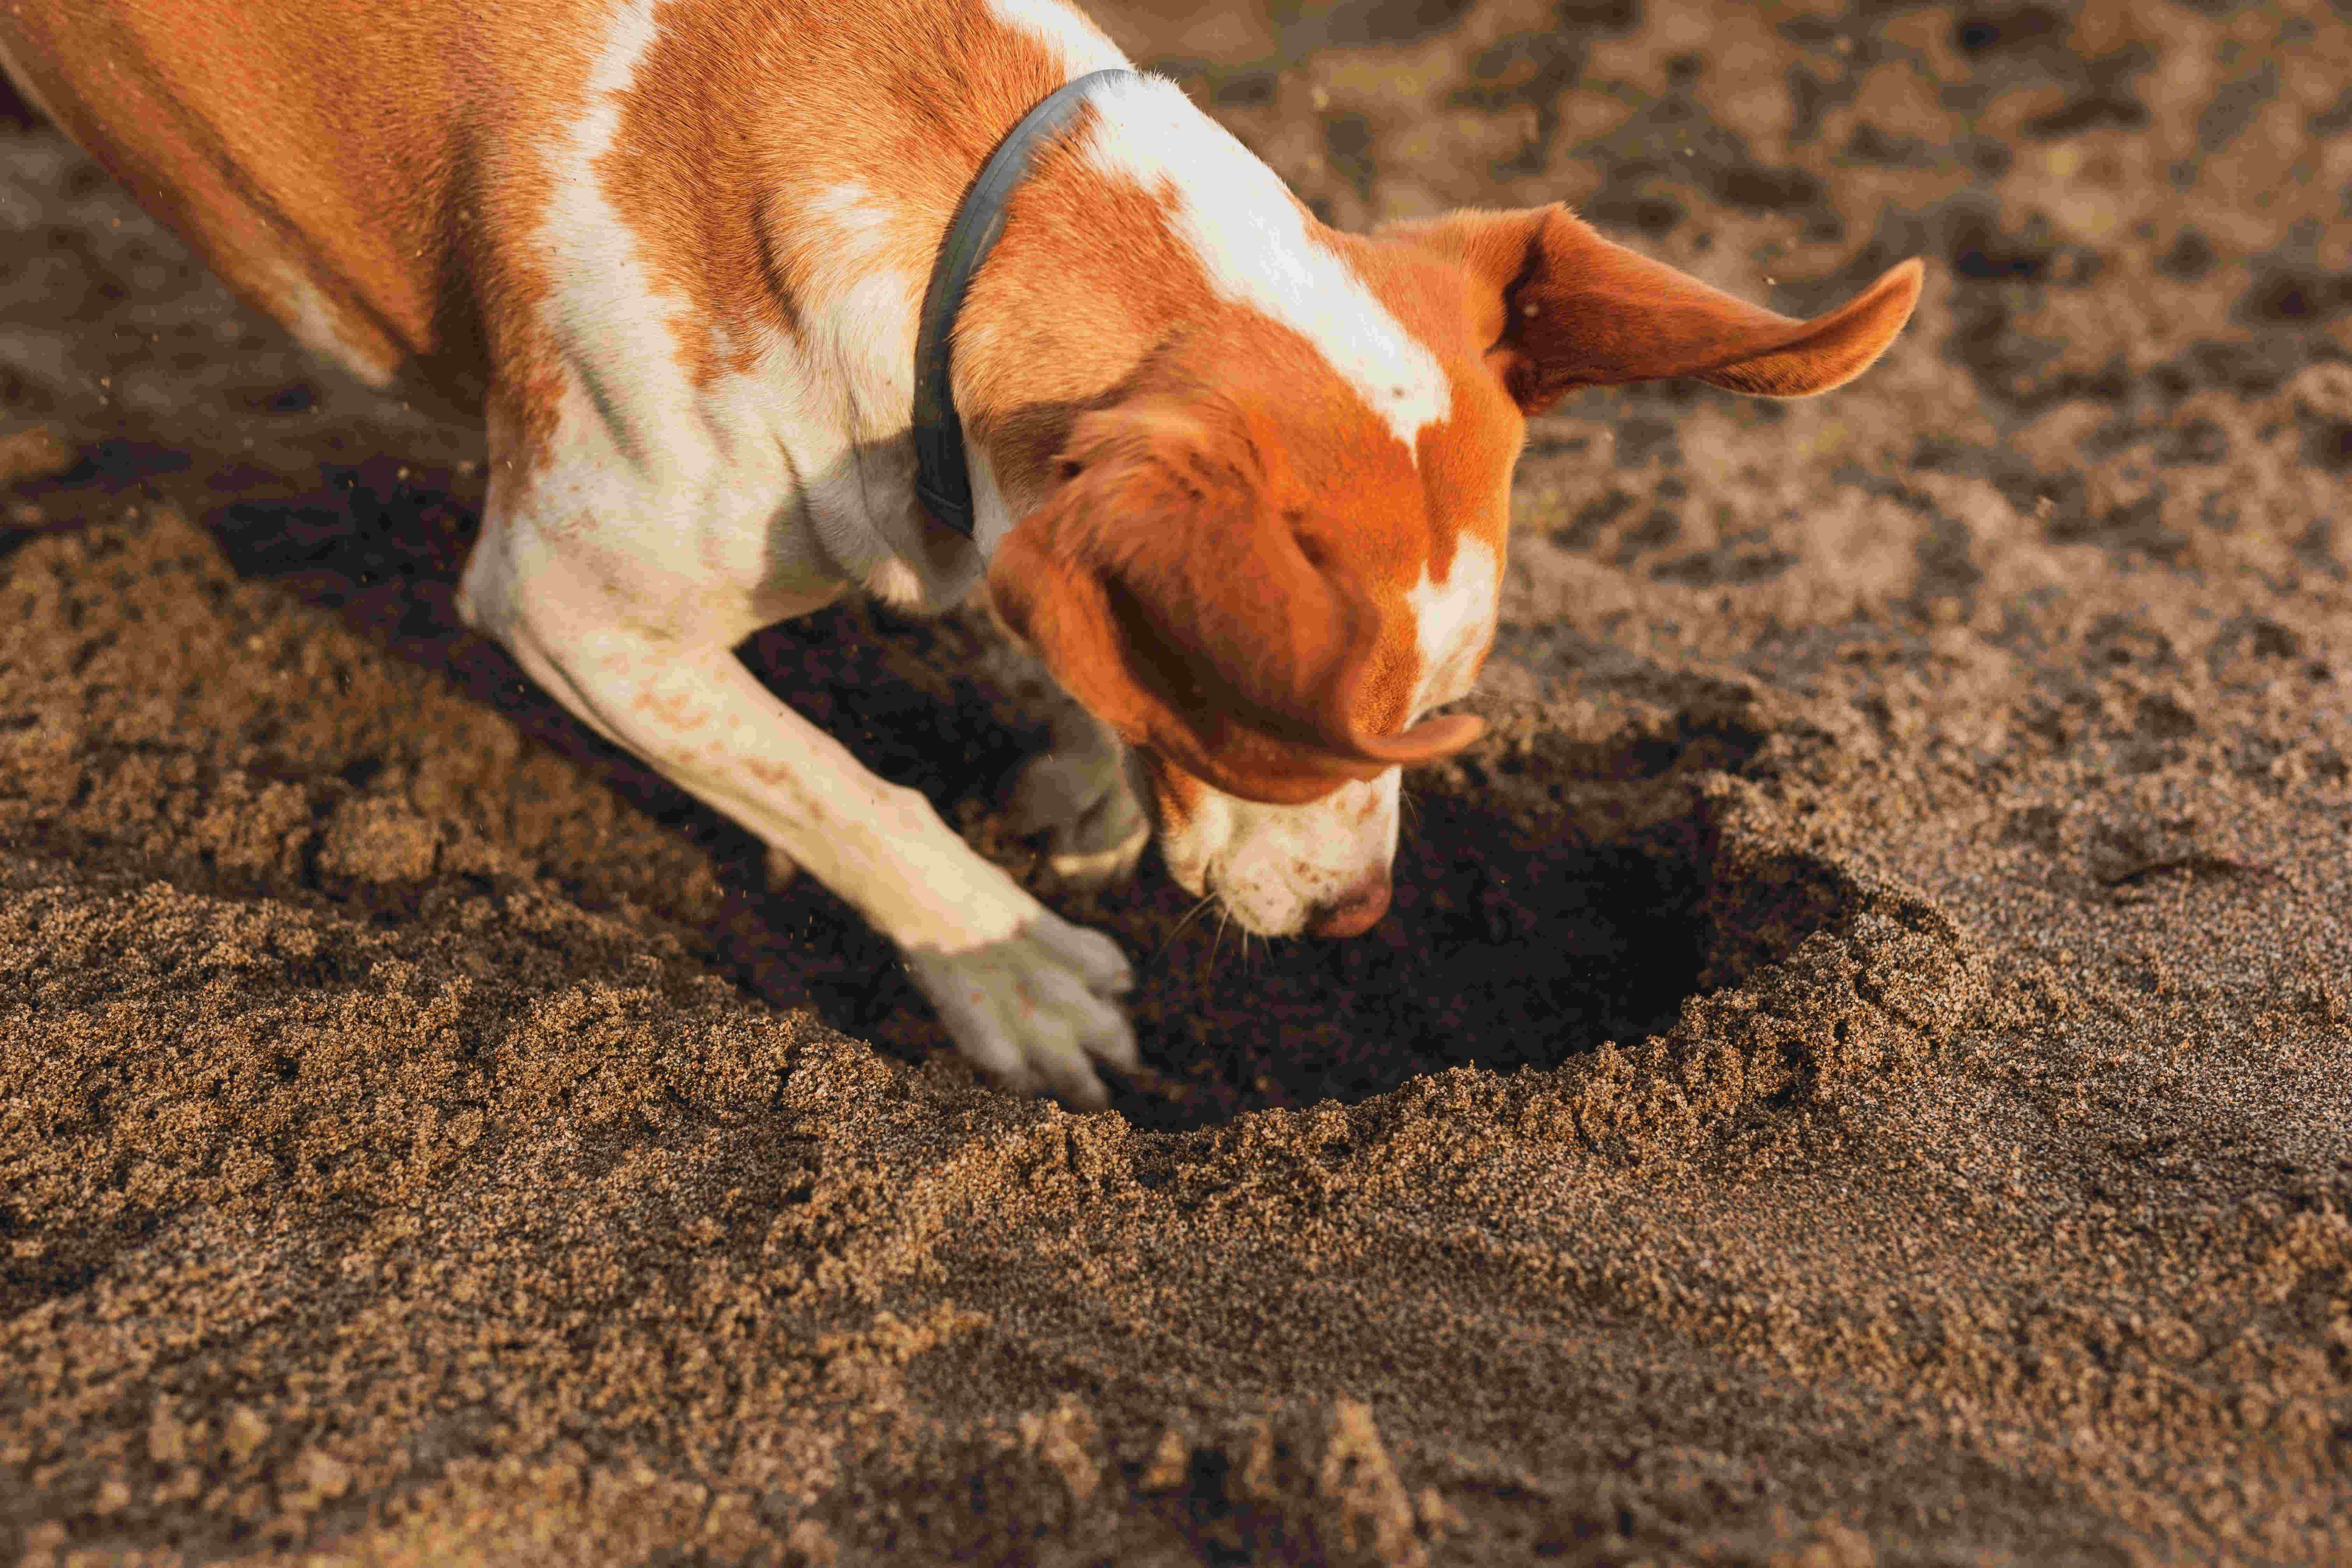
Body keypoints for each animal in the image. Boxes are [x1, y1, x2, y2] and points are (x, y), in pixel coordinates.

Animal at [0, 0, 1919, 1105]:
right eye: (1313, 734)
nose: (1363, 912)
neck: (964, 193)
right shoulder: (574, 608)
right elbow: (840, 787)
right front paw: (1009, 966)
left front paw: (1078, 767)